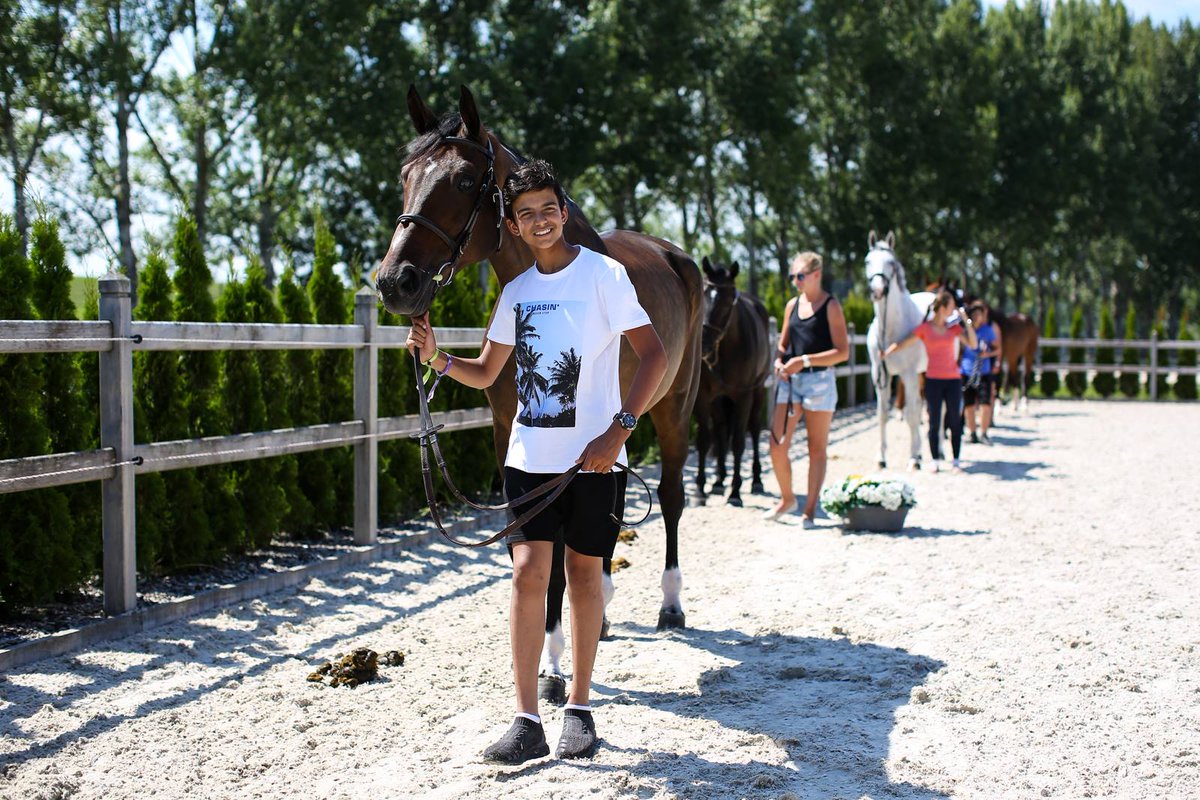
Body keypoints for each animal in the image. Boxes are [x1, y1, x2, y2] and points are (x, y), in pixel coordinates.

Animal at [696, 257, 768, 506]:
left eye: (728, 303)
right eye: (703, 296)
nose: (703, 343)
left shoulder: (744, 396)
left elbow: (738, 441)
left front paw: (735, 492)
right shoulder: (703, 396)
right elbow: (705, 439)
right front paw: (700, 489)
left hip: (759, 392)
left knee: (754, 429)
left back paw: (756, 480)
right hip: (719, 400)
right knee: (720, 430)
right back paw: (718, 480)